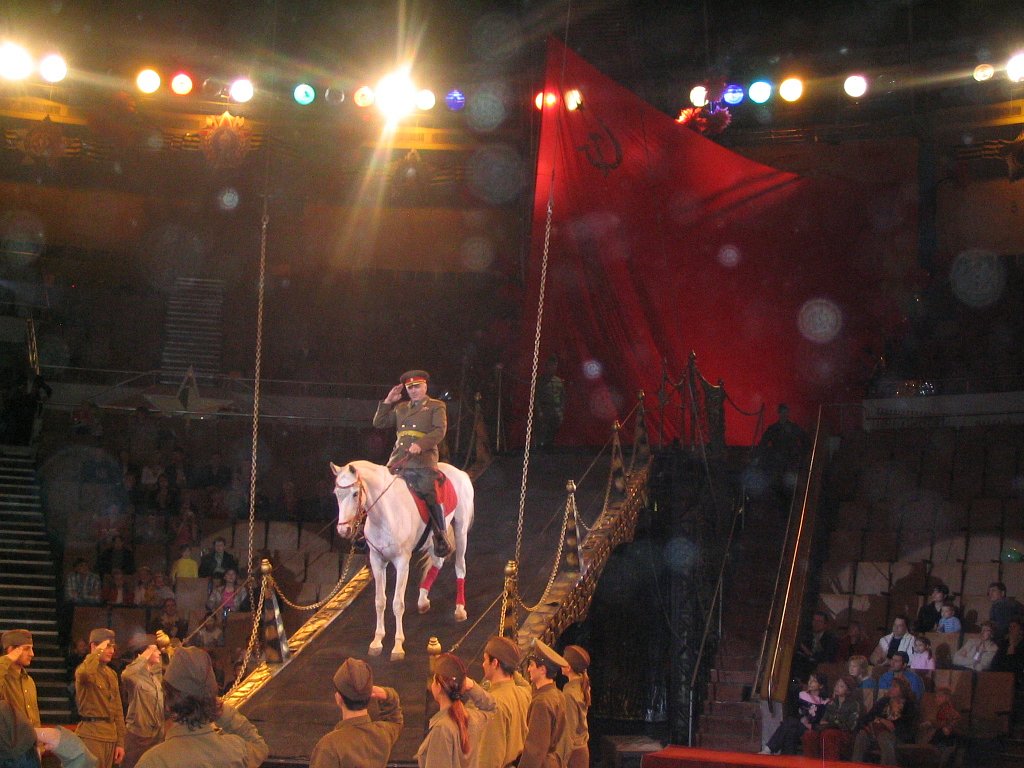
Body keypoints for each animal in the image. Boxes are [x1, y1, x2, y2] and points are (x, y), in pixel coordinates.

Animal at [329, 460, 473, 663]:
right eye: (336, 494)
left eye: (355, 493)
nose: (343, 530)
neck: (385, 514)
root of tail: (459, 471)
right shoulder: (377, 561)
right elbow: (380, 601)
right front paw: (377, 641)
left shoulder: (402, 563)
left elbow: (397, 603)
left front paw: (397, 646)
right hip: (435, 539)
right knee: (437, 562)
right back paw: (422, 600)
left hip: (460, 530)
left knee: (460, 567)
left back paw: (460, 609)